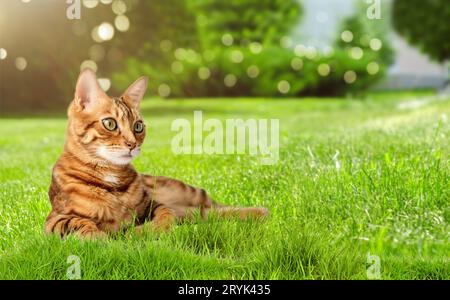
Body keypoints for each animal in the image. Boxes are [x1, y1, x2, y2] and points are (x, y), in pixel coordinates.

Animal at [43, 68, 268, 239]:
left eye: (138, 126)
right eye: (110, 124)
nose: (132, 144)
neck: (112, 179)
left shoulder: (152, 204)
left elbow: (165, 214)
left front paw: (143, 232)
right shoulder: (54, 219)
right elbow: (79, 223)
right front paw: (97, 238)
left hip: (191, 193)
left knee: (215, 208)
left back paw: (260, 212)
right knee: (210, 213)